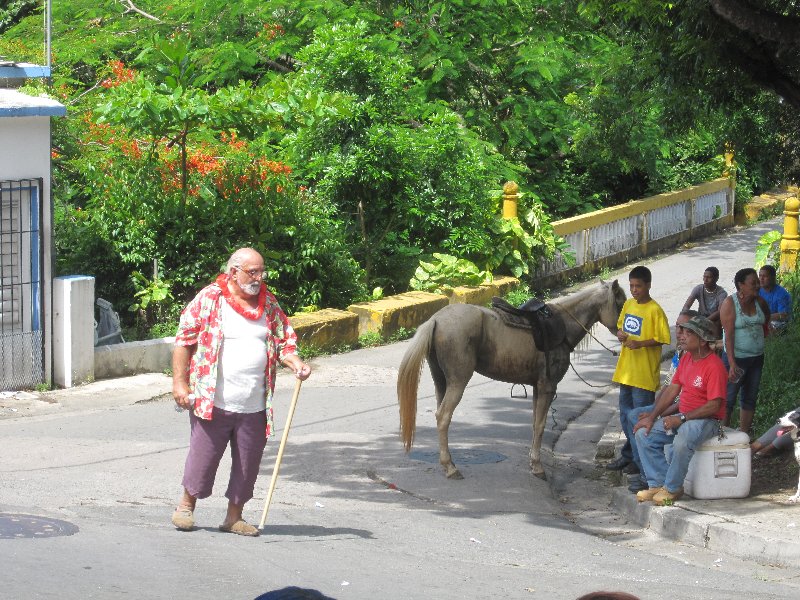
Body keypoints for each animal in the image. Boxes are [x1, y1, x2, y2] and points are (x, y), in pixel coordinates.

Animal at [396, 278, 628, 480]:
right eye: (620, 302)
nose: (625, 334)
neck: (563, 325)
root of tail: (436, 319)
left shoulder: (537, 387)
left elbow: (535, 423)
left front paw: (533, 462)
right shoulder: (547, 386)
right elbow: (541, 425)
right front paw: (537, 466)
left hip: (440, 380)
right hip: (458, 382)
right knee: (443, 416)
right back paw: (451, 467)